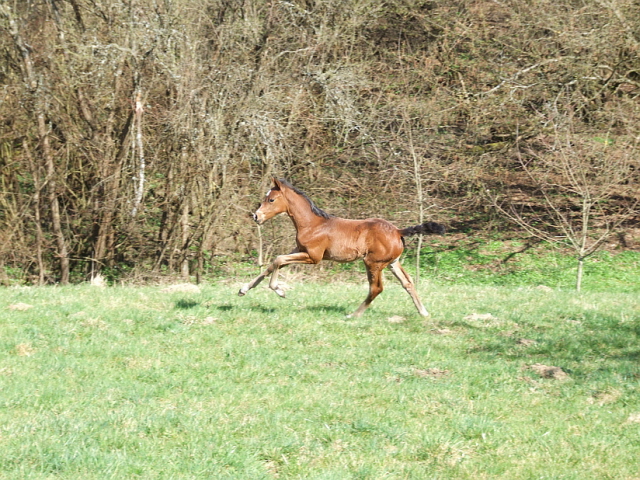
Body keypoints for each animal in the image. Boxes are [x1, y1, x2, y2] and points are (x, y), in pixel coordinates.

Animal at [236, 178, 444, 316]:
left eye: (271, 200)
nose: (256, 216)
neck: (313, 224)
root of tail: (398, 231)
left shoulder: (313, 257)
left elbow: (278, 260)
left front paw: (279, 290)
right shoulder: (299, 250)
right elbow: (274, 263)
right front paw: (244, 289)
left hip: (372, 263)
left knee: (376, 288)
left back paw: (353, 315)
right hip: (393, 262)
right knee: (407, 283)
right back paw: (423, 312)